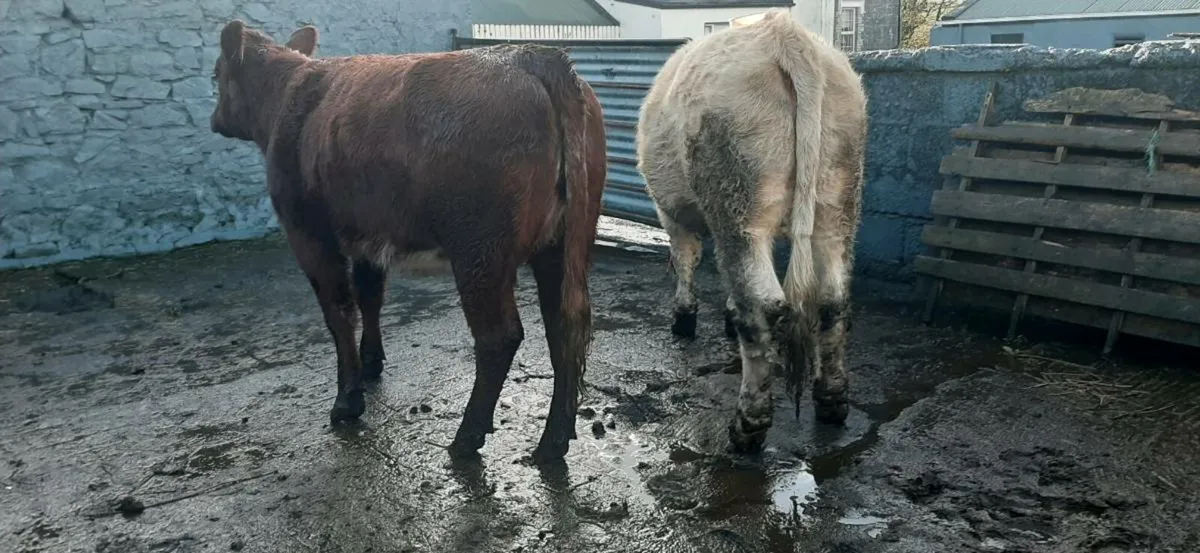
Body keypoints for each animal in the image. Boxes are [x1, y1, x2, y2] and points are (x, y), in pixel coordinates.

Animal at [209, 20, 606, 463]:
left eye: (215, 73)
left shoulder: (309, 235)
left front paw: (347, 401)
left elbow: (338, 312)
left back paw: (466, 438)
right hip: (561, 245)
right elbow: (370, 296)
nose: (214, 119)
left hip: (480, 252)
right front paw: (371, 364)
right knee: (563, 328)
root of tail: (536, 55)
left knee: (499, 337)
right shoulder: (367, 235)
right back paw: (553, 442)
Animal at [635, 9, 867, 452]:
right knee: (832, 300)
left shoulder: (672, 214)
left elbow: (686, 259)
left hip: (738, 203)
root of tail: (785, 36)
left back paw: (748, 426)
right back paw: (832, 402)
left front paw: (684, 318)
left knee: (762, 306)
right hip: (838, 201)